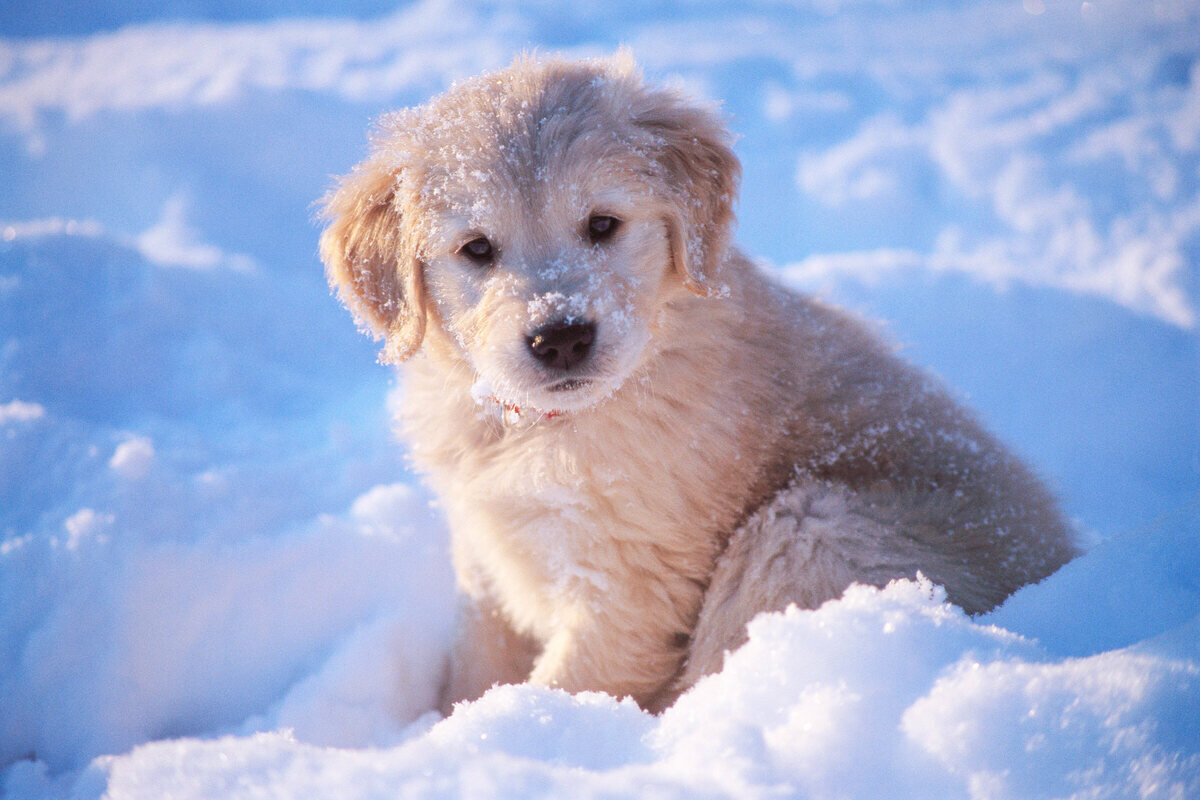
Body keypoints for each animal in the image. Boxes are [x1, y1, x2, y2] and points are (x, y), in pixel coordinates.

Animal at [321, 51, 1080, 714]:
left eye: (603, 224)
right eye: (476, 248)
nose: (561, 336)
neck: (538, 429)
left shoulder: (632, 590)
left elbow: (565, 684)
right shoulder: (485, 556)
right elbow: (476, 666)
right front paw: (445, 724)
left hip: (812, 525)